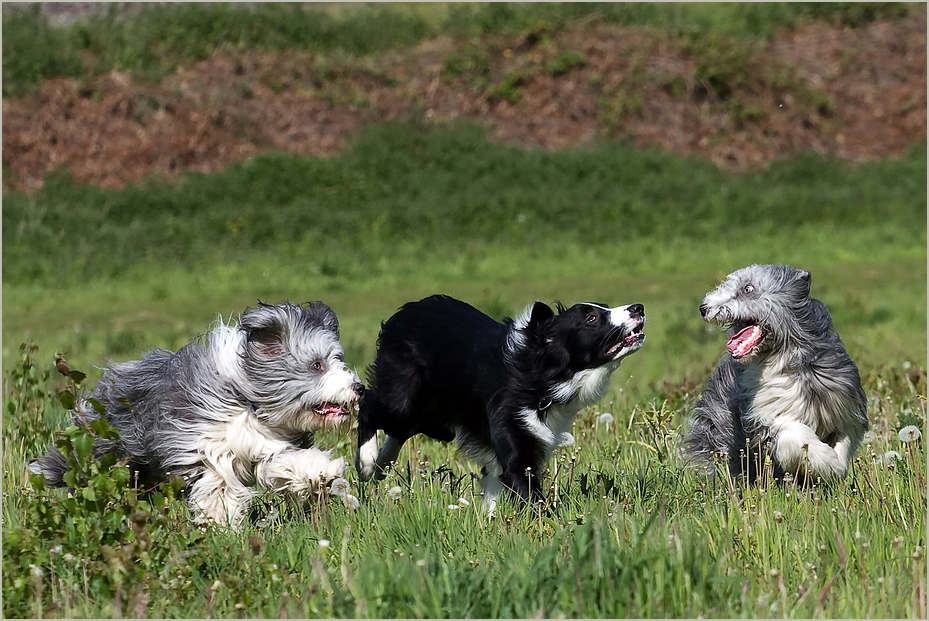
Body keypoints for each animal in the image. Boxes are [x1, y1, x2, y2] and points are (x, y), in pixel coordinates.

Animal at [29, 300, 362, 528]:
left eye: (338, 360)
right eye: (317, 365)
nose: (358, 387)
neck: (247, 399)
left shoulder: (268, 443)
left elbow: (286, 462)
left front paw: (324, 471)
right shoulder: (204, 444)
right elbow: (218, 487)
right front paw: (220, 527)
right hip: (111, 456)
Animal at [352, 294, 640, 512]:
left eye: (604, 306)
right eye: (591, 318)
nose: (639, 308)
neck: (537, 378)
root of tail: (406, 310)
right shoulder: (513, 437)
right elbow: (527, 490)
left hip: (434, 417)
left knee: (401, 431)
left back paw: (381, 465)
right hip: (402, 400)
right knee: (368, 406)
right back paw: (366, 463)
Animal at [680, 262, 872, 484]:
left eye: (748, 288)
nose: (704, 308)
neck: (786, 358)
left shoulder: (844, 406)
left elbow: (845, 438)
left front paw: (838, 467)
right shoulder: (770, 416)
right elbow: (794, 436)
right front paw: (829, 465)